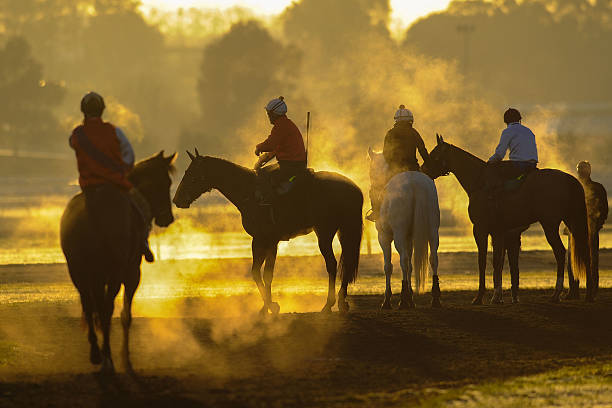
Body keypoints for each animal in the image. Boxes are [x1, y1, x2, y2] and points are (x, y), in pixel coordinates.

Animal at [60, 151, 177, 372]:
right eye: (166, 182)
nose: (168, 218)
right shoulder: (132, 274)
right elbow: (125, 315)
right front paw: (125, 357)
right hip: (112, 273)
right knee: (105, 309)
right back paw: (107, 359)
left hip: (79, 273)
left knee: (89, 306)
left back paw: (96, 353)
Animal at [171, 151, 364, 314]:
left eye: (191, 174)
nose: (176, 199)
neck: (249, 192)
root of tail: (354, 188)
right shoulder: (263, 241)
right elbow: (259, 273)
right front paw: (267, 306)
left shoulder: (266, 240)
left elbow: (264, 274)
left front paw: (271, 306)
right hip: (342, 231)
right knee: (345, 264)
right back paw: (341, 302)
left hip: (324, 232)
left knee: (332, 264)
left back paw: (328, 305)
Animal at [368, 148, 440, 308]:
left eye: (371, 172)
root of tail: (414, 183)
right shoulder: (410, 237)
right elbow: (412, 266)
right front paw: (411, 296)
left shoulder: (384, 237)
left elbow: (388, 266)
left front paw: (388, 299)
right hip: (433, 231)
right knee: (433, 259)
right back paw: (435, 298)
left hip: (398, 235)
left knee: (404, 261)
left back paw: (403, 299)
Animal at [424, 135, 592, 304]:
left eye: (434, 155)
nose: (423, 170)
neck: (480, 183)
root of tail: (570, 180)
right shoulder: (499, 232)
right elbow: (499, 261)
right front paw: (497, 296)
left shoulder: (480, 229)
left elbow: (483, 261)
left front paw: (480, 297)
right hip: (571, 222)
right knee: (584, 251)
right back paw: (587, 294)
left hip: (549, 225)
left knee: (560, 252)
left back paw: (556, 293)